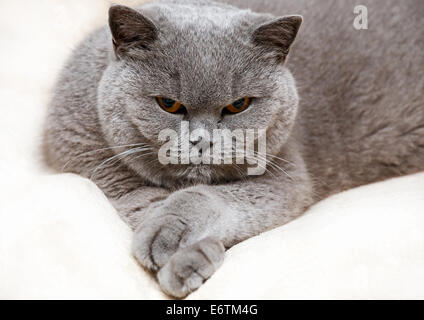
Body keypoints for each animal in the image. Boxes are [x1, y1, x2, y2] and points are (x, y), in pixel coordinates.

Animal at [44, 0, 424, 298]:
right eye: (168, 104)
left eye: (238, 105)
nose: (202, 140)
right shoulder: (101, 172)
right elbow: (143, 204)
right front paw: (181, 251)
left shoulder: (285, 177)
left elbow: (210, 197)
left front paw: (181, 248)